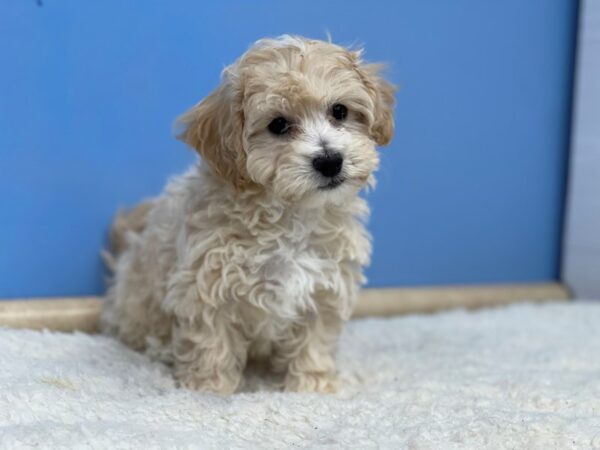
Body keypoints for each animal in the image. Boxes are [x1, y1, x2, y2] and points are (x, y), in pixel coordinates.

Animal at [101, 35, 396, 394]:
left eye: (339, 111)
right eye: (278, 125)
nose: (329, 161)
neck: (290, 214)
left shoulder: (325, 285)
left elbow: (314, 340)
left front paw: (311, 385)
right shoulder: (206, 284)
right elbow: (211, 342)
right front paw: (209, 388)